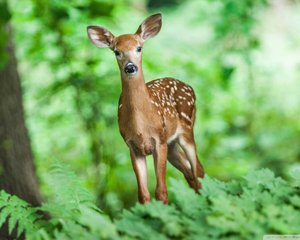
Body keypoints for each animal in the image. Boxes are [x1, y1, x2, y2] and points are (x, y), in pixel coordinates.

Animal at [86, 12, 204, 204]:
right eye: (116, 51)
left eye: (139, 48)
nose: (130, 67)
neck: (141, 125)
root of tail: (190, 87)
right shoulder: (132, 146)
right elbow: (143, 194)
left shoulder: (159, 140)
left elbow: (161, 192)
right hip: (172, 145)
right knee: (190, 174)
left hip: (186, 130)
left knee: (198, 170)